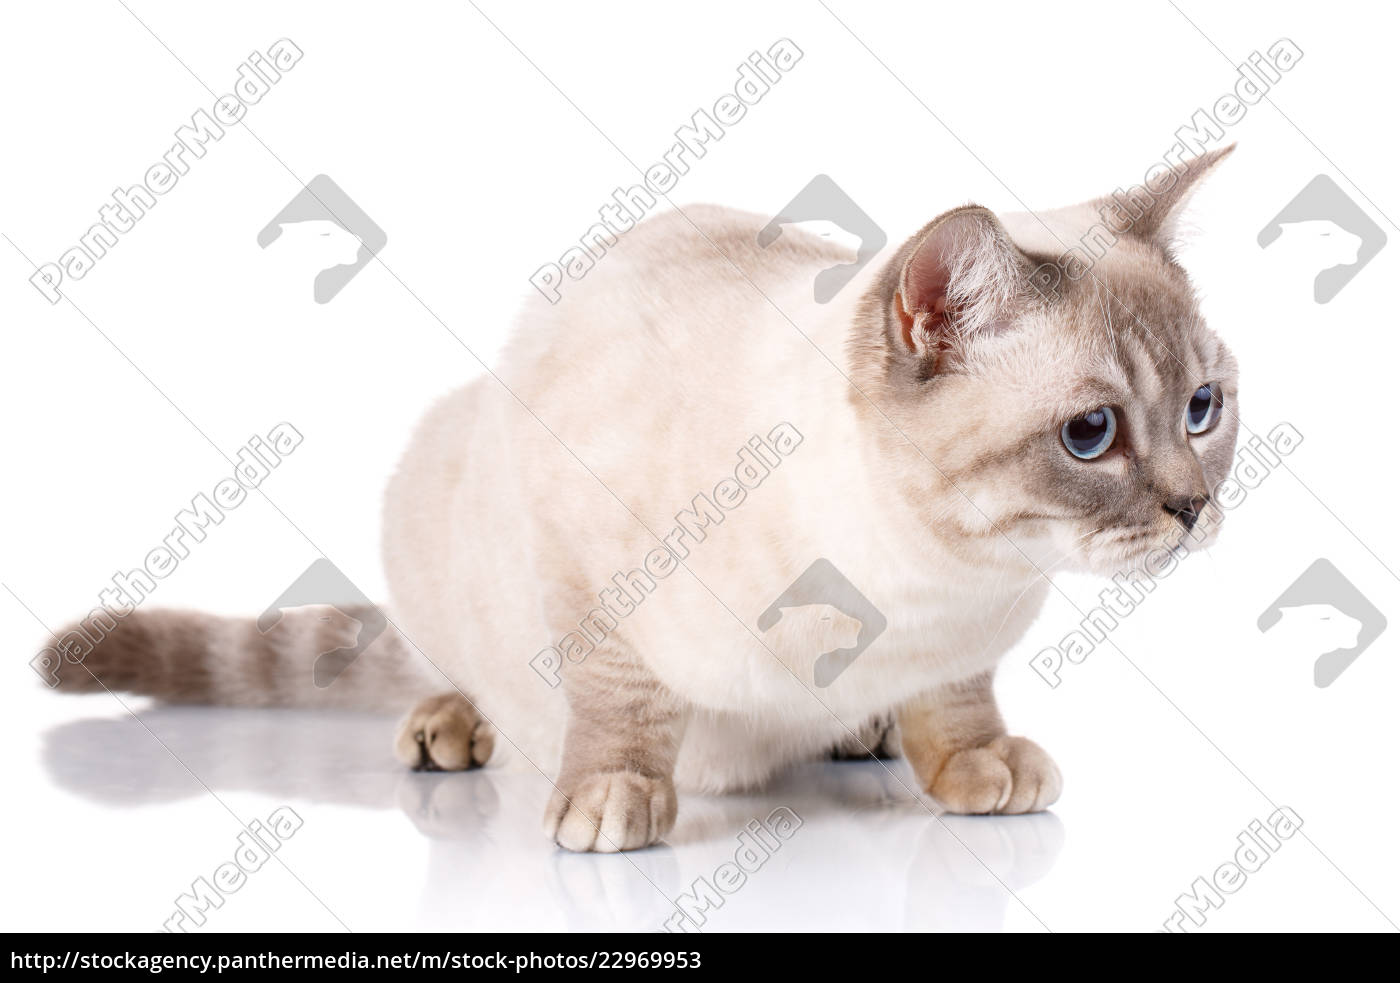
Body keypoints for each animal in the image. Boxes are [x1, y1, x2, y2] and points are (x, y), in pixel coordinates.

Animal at [46, 144, 1237, 856]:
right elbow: (622, 705)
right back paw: (449, 726)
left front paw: (973, 763)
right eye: (1090, 435)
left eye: (1201, 408)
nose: (1192, 509)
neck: (926, 580)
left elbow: (956, 705)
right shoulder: (588, 569)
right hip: (433, 488)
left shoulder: (962, 648)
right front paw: (611, 799)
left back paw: (862, 734)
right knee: (447, 666)